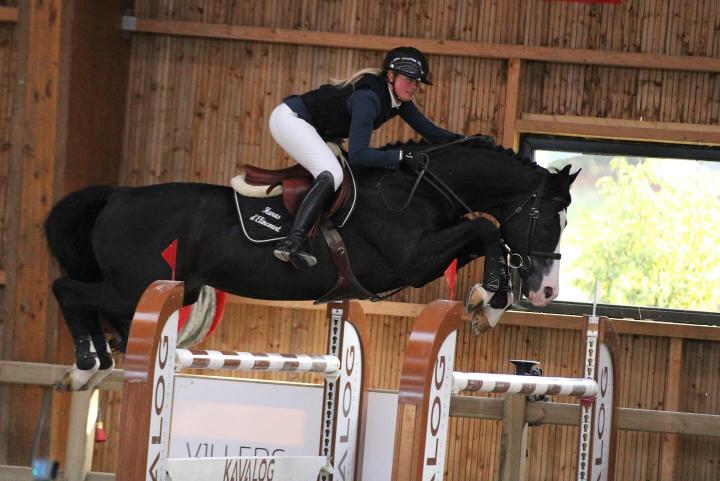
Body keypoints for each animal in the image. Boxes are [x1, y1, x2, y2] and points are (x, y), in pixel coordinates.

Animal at [45, 137, 576, 388]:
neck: (417, 187)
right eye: (549, 220)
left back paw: (96, 363)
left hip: (168, 288)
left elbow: (484, 237)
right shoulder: (411, 260)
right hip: (136, 285)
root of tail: (117, 197)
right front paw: (489, 301)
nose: (547, 292)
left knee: (91, 302)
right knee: (68, 290)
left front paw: (488, 300)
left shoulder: (427, 254)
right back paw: (87, 365)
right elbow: (486, 230)